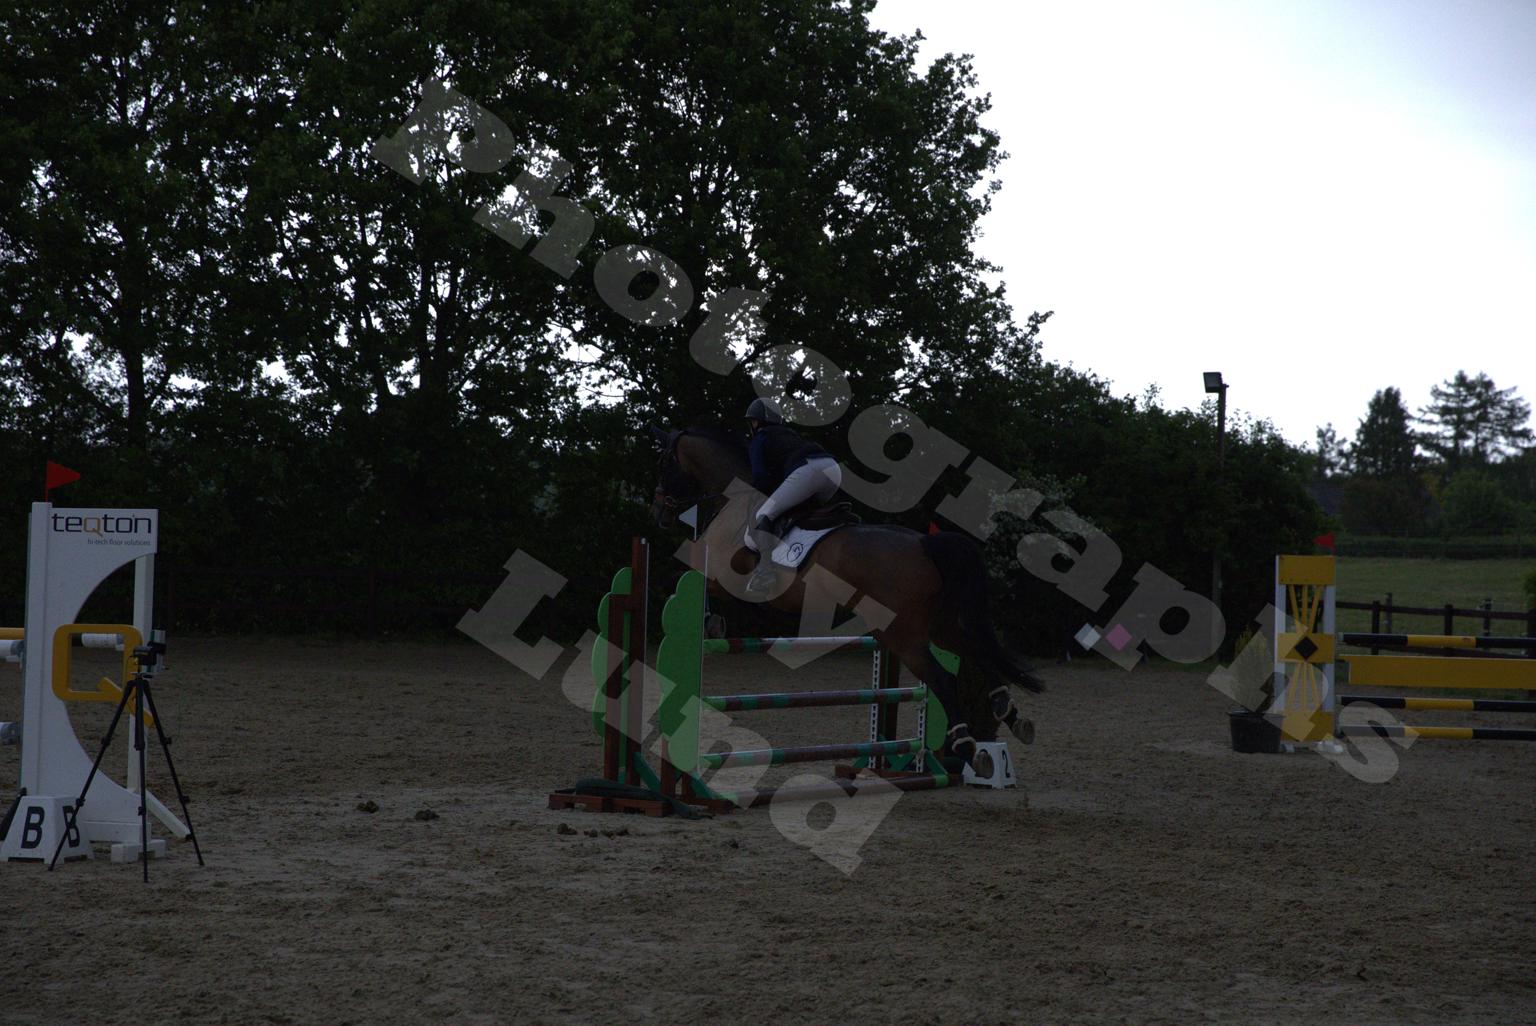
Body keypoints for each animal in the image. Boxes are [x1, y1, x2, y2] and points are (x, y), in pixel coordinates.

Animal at [649, 423, 1042, 768]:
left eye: (664, 462)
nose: (659, 512)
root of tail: (924, 543)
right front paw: (711, 622)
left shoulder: (721, 572)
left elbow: (697, 581)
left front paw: (709, 621)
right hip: (938, 626)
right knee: (976, 650)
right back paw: (1009, 713)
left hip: (901, 634)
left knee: (943, 678)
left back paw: (966, 744)